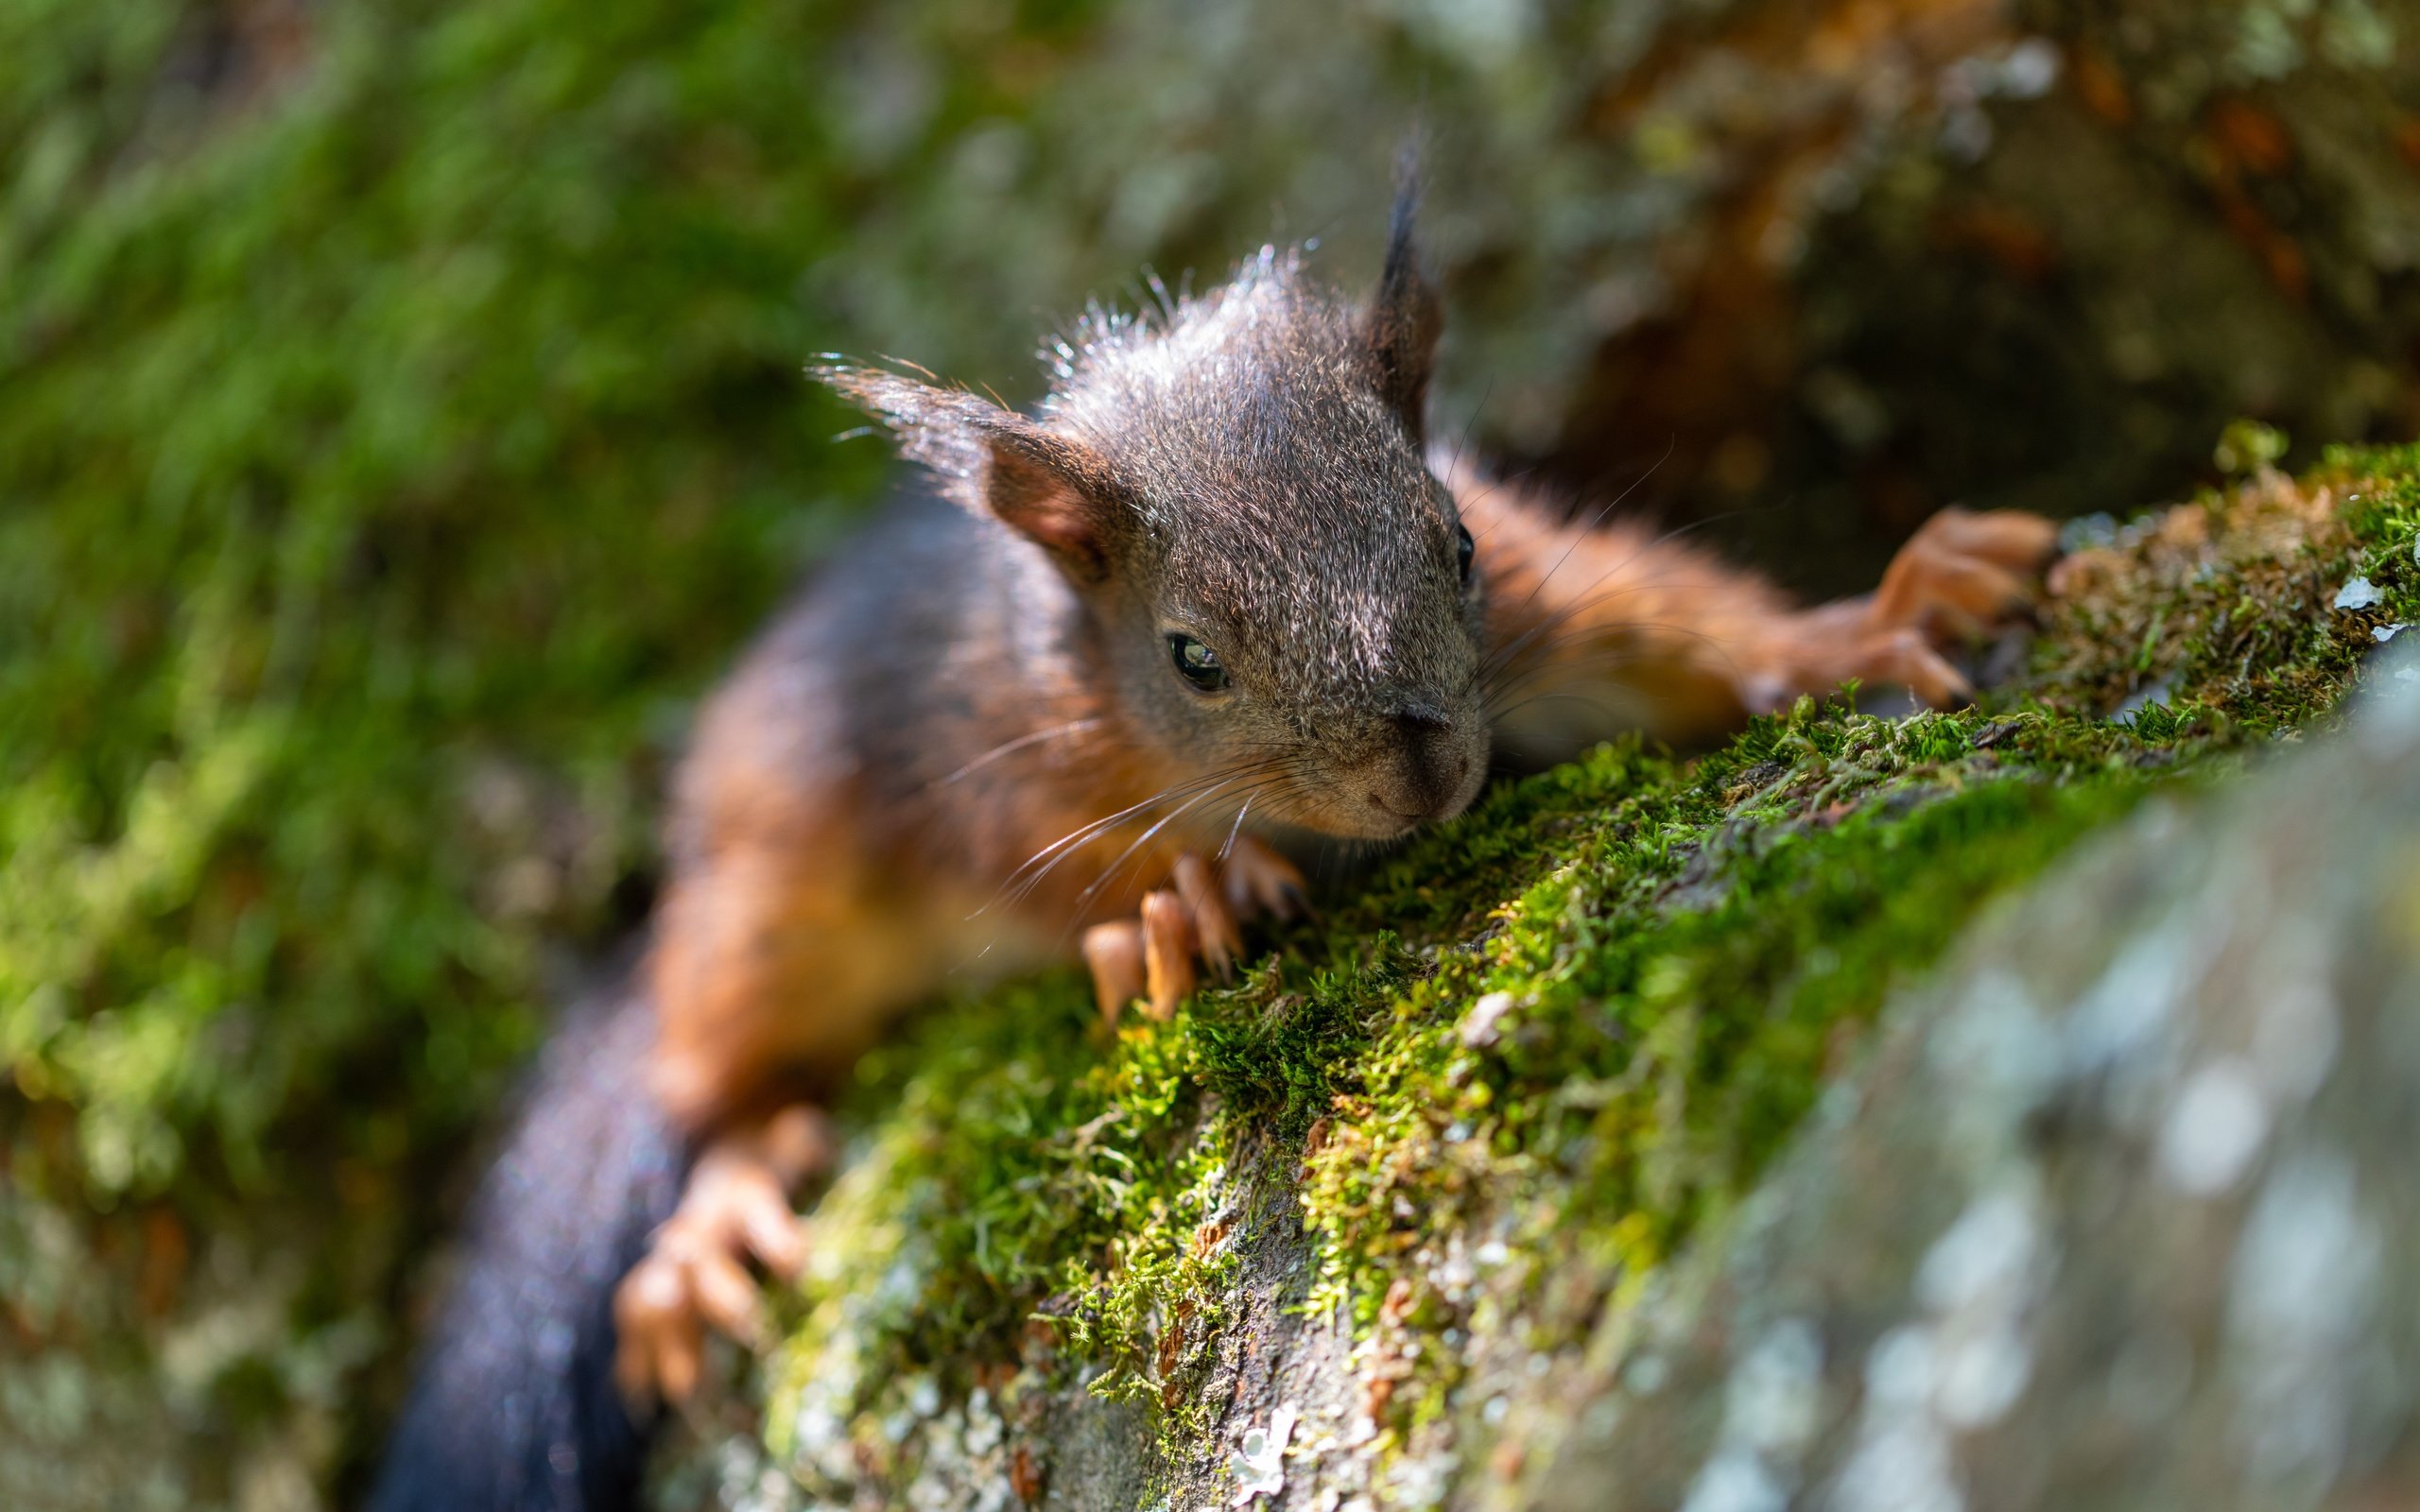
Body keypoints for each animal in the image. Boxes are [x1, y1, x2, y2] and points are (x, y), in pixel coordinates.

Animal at [368, 182, 2051, 1500]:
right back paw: (714, 1210)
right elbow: (1055, 865)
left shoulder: (1548, 603)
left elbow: (1682, 633)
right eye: (1189, 658)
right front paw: (1180, 902)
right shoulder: (1000, 760)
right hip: (769, 904)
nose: (1426, 771)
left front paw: (1874, 615)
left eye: (1454, 541)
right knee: (714, 1068)